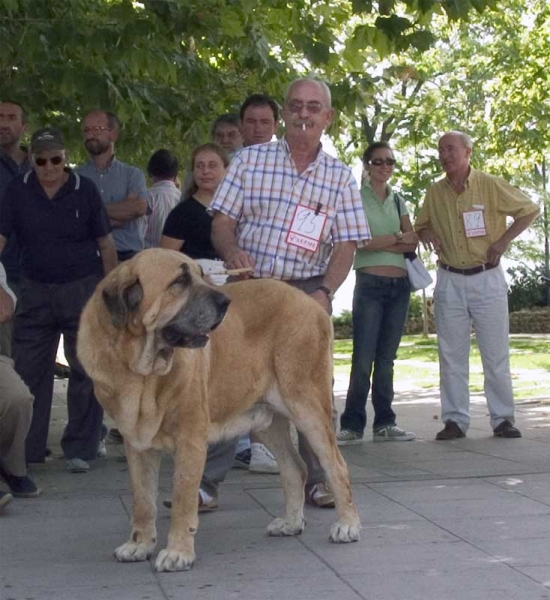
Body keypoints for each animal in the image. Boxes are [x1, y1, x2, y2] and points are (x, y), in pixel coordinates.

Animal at [77, 248, 362, 572]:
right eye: (180, 281)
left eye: (201, 275)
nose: (225, 302)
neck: (141, 370)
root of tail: (310, 302)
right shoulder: (136, 444)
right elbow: (143, 500)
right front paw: (139, 545)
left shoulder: (190, 441)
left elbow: (183, 499)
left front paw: (177, 552)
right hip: (266, 419)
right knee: (295, 467)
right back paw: (291, 523)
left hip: (308, 406)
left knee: (336, 466)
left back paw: (347, 525)